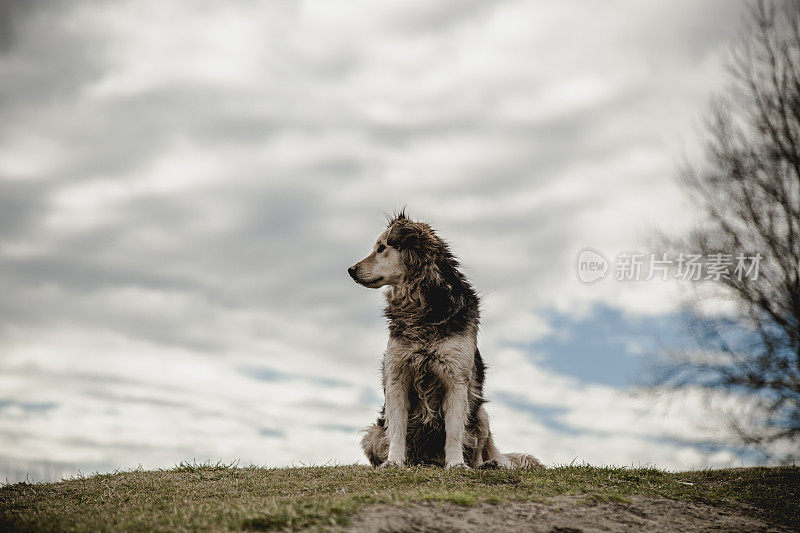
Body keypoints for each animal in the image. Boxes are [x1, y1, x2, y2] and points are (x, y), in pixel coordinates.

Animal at [350, 210, 544, 468]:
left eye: (382, 248)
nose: (350, 270)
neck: (421, 308)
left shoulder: (456, 379)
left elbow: (454, 431)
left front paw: (455, 464)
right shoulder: (397, 376)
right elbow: (397, 429)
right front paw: (394, 462)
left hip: (481, 413)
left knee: (480, 450)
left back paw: (485, 464)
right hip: (372, 434)